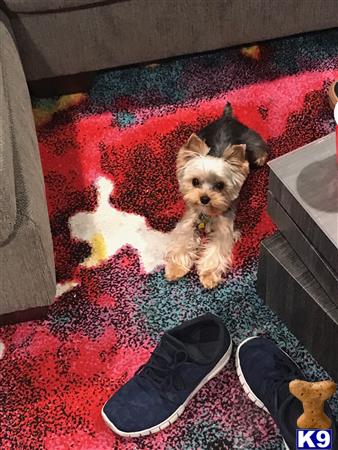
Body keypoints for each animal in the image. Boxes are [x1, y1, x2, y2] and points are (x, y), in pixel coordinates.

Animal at [165, 103, 268, 288]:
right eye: (195, 181)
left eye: (220, 185)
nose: (204, 198)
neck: (207, 214)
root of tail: (227, 117)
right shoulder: (189, 219)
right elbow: (183, 239)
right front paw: (176, 268)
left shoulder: (225, 228)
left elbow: (217, 248)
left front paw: (208, 275)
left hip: (251, 140)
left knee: (260, 148)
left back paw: (261, 159)